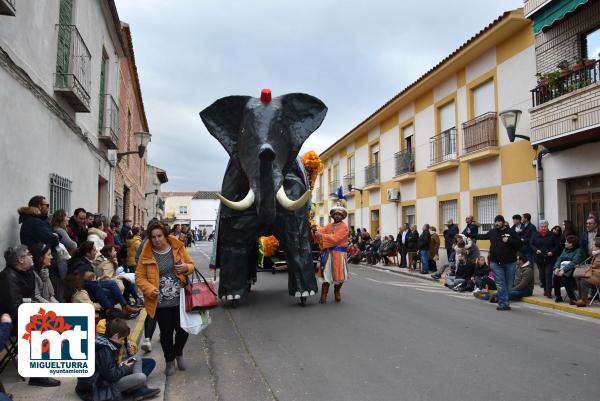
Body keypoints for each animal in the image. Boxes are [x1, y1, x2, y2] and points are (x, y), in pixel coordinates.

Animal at [199, 89, 326, 304]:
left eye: (282, 132)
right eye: (244, 133)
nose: (267, 151)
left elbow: (296, 237)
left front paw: (304, 295)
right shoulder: (233, 185)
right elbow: (234, 238)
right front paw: (231, 297)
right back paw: (246, 285)